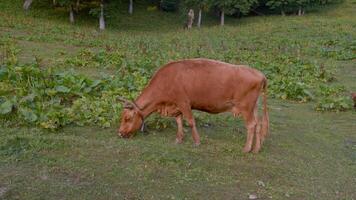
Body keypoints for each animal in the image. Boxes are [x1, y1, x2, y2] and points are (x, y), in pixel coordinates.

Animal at [118, 58, 268, 153]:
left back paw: (247, 149)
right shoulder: (176, 106)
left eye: (127, 118)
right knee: (259, 124)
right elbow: (179, 121)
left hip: (246, 107)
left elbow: (190, 121)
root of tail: (259, 73)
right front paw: (179, 139)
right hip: (253, 107)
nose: (120, 133)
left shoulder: (184, 103)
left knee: (251, 125)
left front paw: (196, 141)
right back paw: (256, 149)